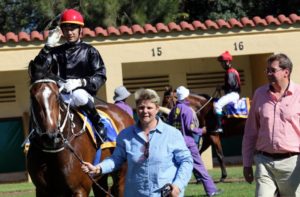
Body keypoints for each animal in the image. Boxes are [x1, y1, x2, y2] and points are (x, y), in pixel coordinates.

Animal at [27, 64, 134, 195]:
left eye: (57, 96)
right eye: (33, 97)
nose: (50, 137)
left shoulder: (79, 189)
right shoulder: (43, 190)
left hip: (121, 174)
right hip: (100, 176)